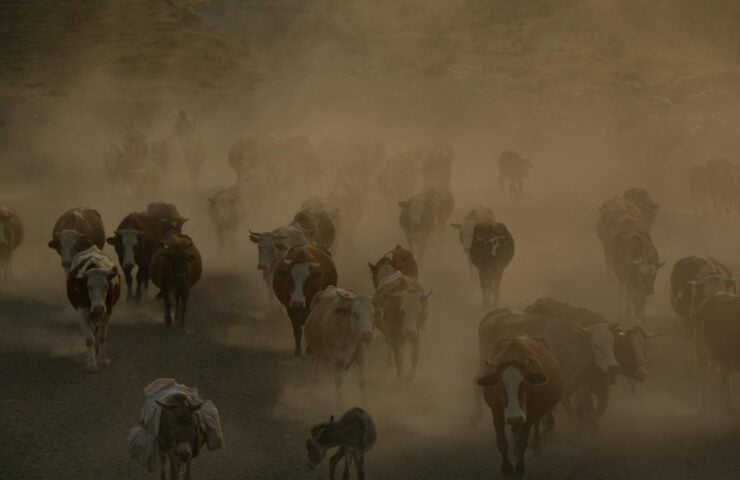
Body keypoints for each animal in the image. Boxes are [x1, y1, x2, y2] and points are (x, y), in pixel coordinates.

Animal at [65, 246, 120, 374]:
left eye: (106, 286)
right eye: (88, 287)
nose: (98, 307)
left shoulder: (107, 312)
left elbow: (102, 337)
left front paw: (103, 359)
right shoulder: (82, 313)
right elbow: (89, 339)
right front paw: (91, 364)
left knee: (97, 331)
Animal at [474, 310, 620, 436]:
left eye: (612, 343)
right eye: (596, 346)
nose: (613, 366)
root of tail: (495, 314)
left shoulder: (577, 386)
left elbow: (578, 408)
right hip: (484, 364)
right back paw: (476, 417)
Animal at [476, 336, 564, 478]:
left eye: (524, 385)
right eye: (500, 386)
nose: (515, 416)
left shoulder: (530, 412)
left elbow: (523, 440)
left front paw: (520, 468)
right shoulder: (496, 412)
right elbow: (502, 441)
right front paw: (506, 468)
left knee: (536, 425)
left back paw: (536, 447)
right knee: (515, 431)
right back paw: (515, 452)